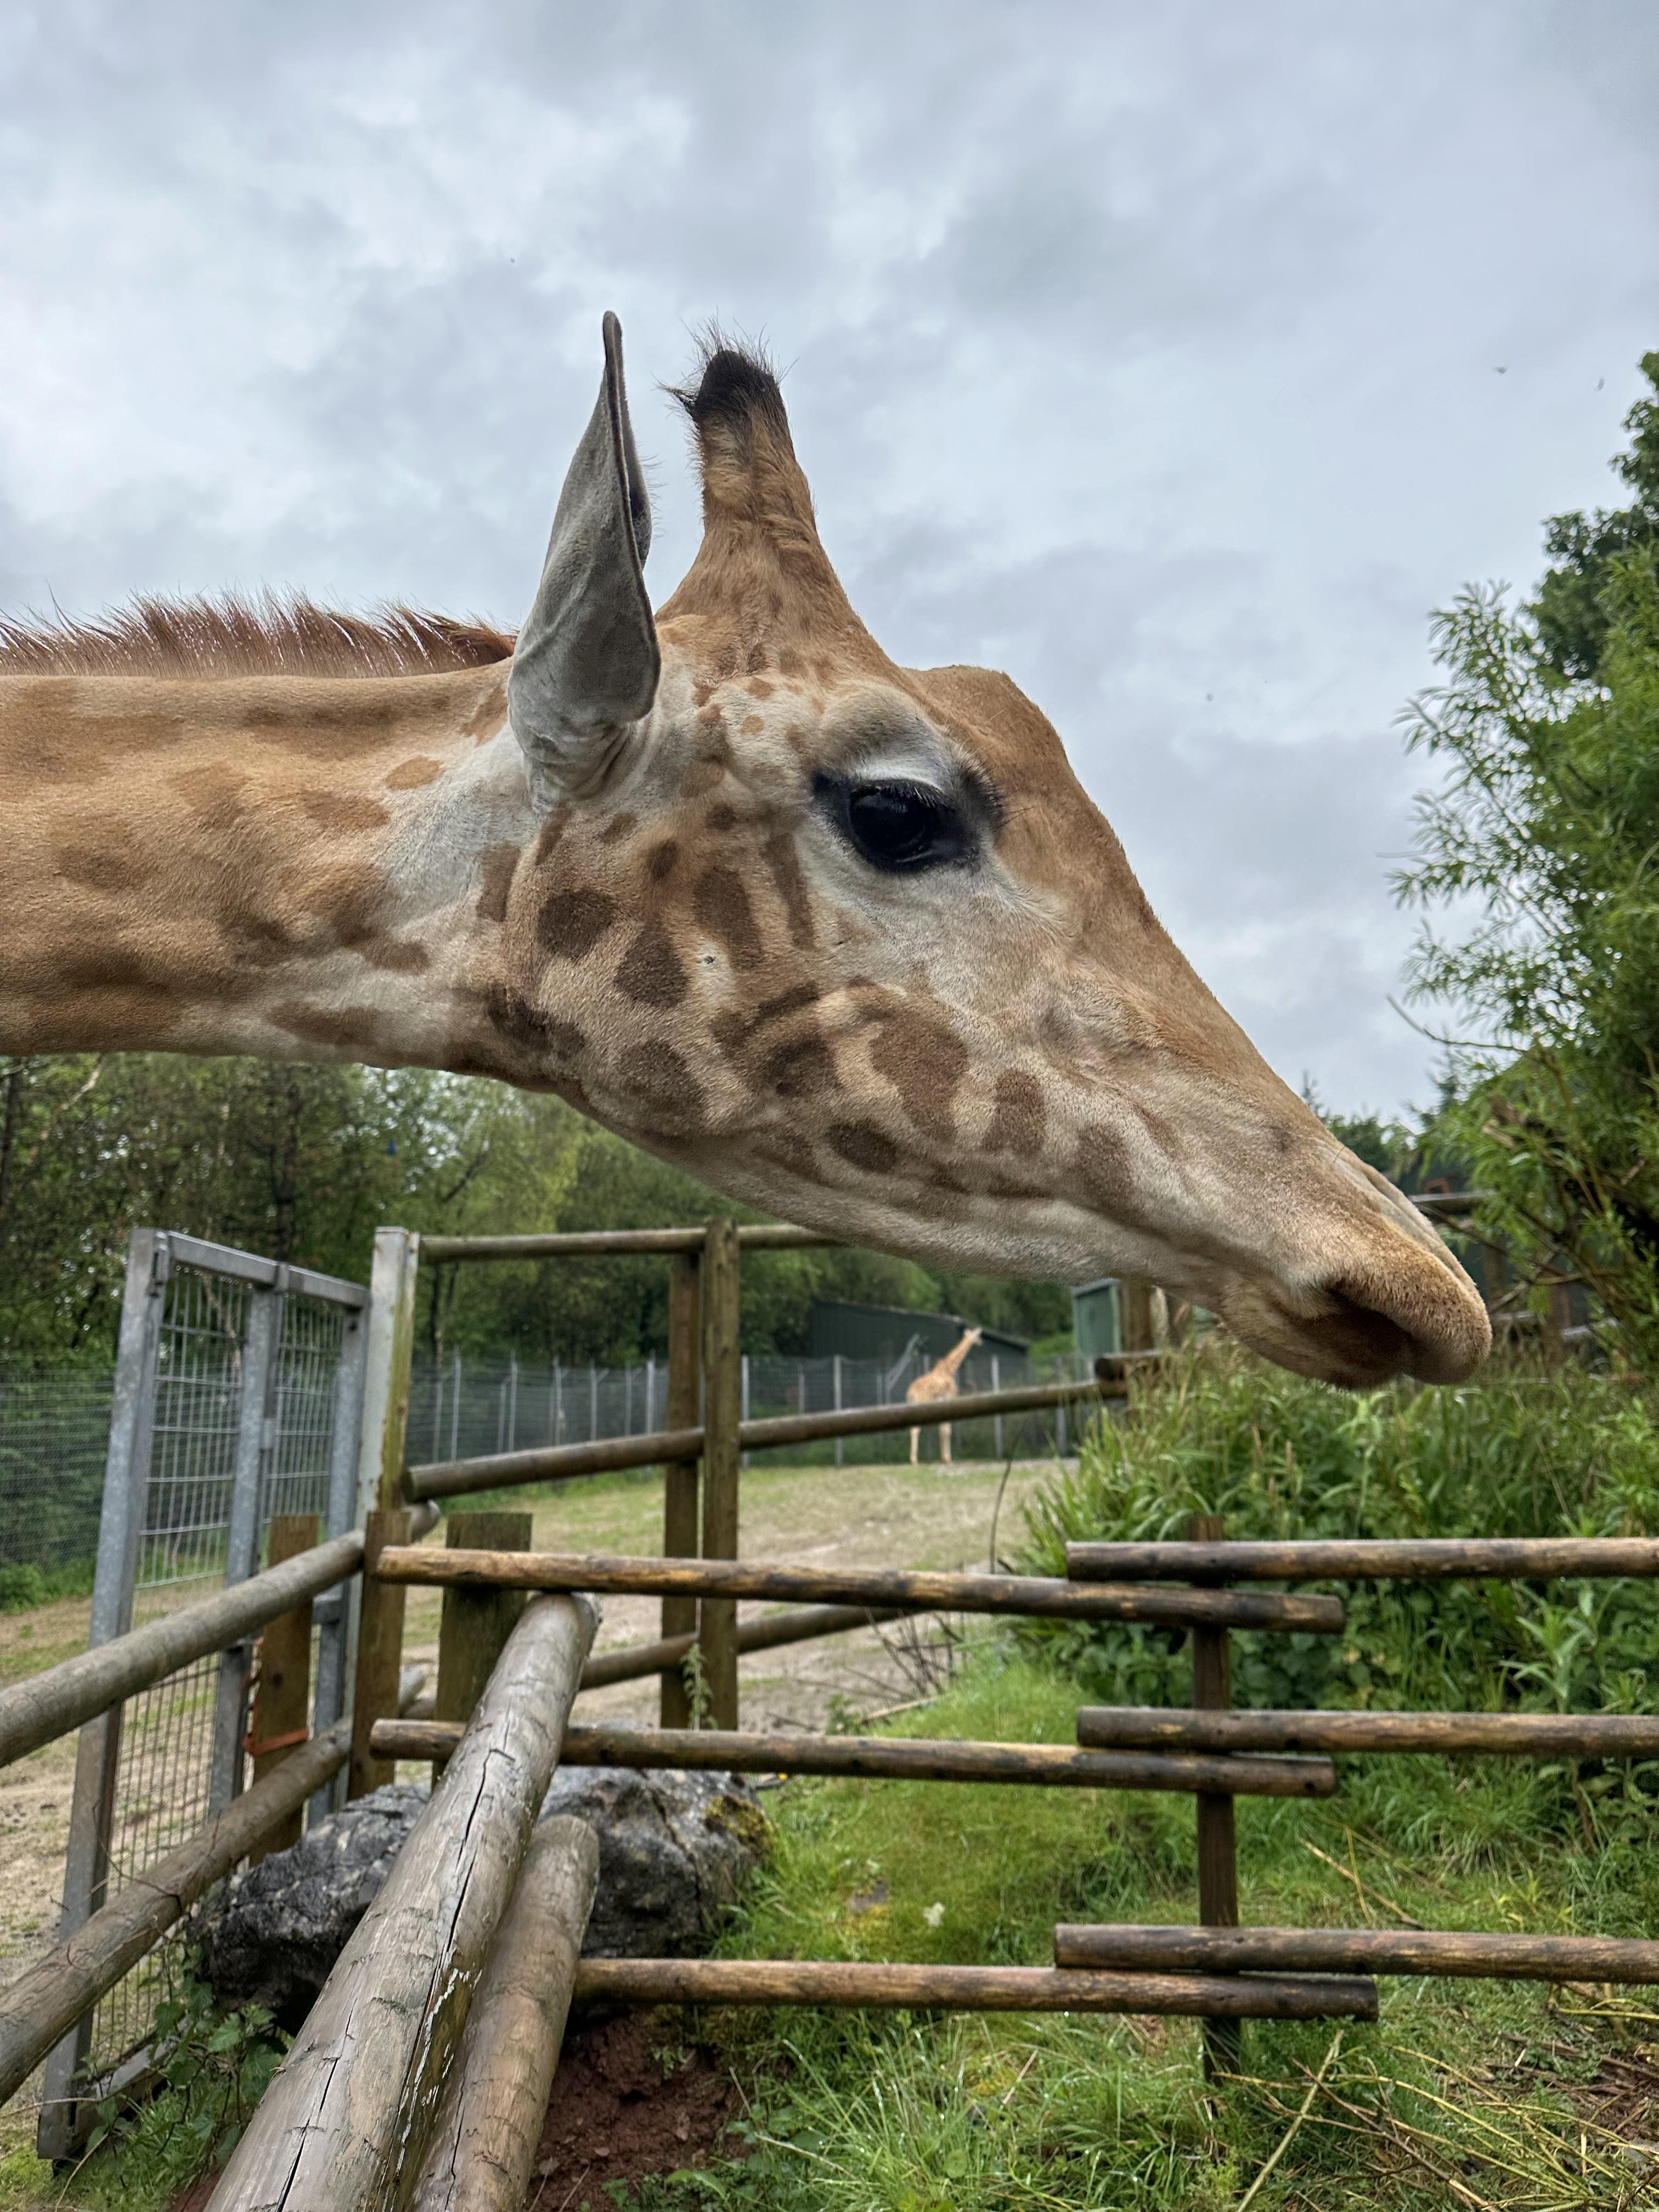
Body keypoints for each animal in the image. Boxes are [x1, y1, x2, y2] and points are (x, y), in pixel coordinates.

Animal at [906, 1326, 983, 1465]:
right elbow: (947, 1431)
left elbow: (942, 1431)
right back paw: (914, 1461)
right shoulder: (950, 1399)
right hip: (920, 1405)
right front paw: (948, 1459)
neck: (949, 1369)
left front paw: (944, 1459)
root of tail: (911, 1393)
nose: (981, 1343)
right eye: (978, 1336)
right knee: (916, 1429)